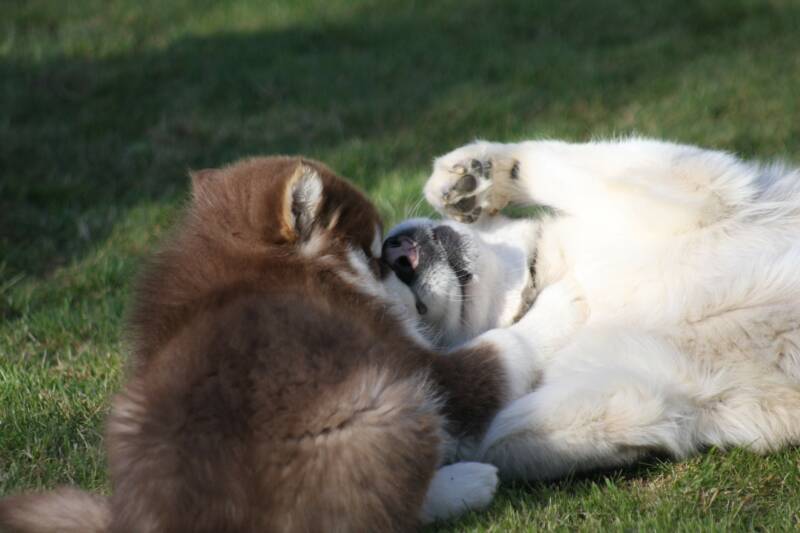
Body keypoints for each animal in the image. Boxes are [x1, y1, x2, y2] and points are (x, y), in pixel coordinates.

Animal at [1, 158, 544, 532]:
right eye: (374, 255)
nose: (398, 253)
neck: (257, 269)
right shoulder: (410, 363)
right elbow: (498, 351)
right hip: (387, 406)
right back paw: (466, 484)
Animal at [382, 137, 800, 478]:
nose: (394, 253)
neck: (543, 274)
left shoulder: (701, 189)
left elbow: (550, 159)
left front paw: (477, 173)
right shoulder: (645, 392)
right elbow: (501, 434)